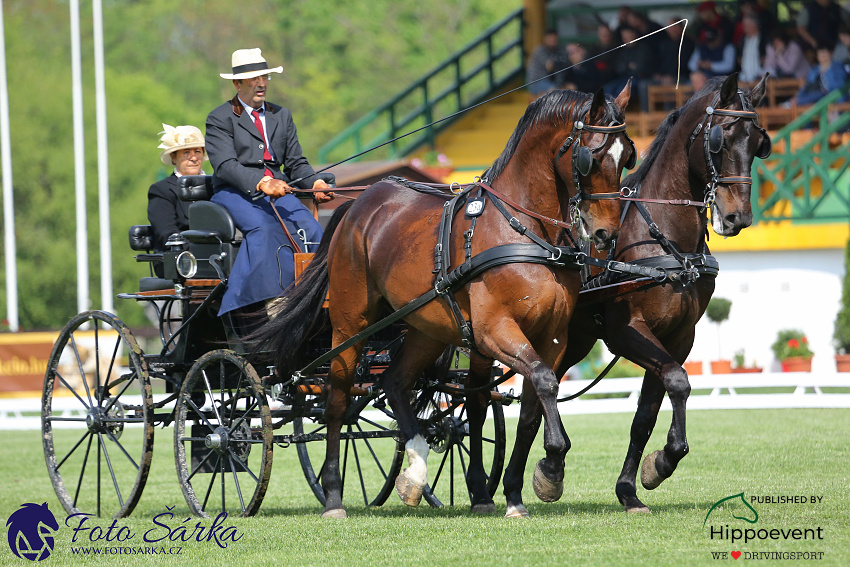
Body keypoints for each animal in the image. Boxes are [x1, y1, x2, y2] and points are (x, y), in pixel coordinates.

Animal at [255, 85, 632, 520]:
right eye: (591, 156)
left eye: (628, 155)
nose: (606, 235)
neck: (525, 231)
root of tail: (360, 204)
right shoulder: (493, 330)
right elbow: (541, 382)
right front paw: (552, 466)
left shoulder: (552, 337)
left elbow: (529, 407)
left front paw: (515, 491)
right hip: (350, 325)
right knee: (338, 399)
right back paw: (333, 495)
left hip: (426, 329)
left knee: (394, 383)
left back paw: (415, 472)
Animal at [500, 73, 772, 516]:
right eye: (721, 138)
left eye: (759, 143)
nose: (738, 218)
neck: (663, 238)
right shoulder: (626, 332)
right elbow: (678, 382)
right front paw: (660, 463)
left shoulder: (678, 337)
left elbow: (647, 413)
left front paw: (637, 483)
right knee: (530, 405)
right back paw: (522, 485)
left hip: (571, 340)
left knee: (533, 401)